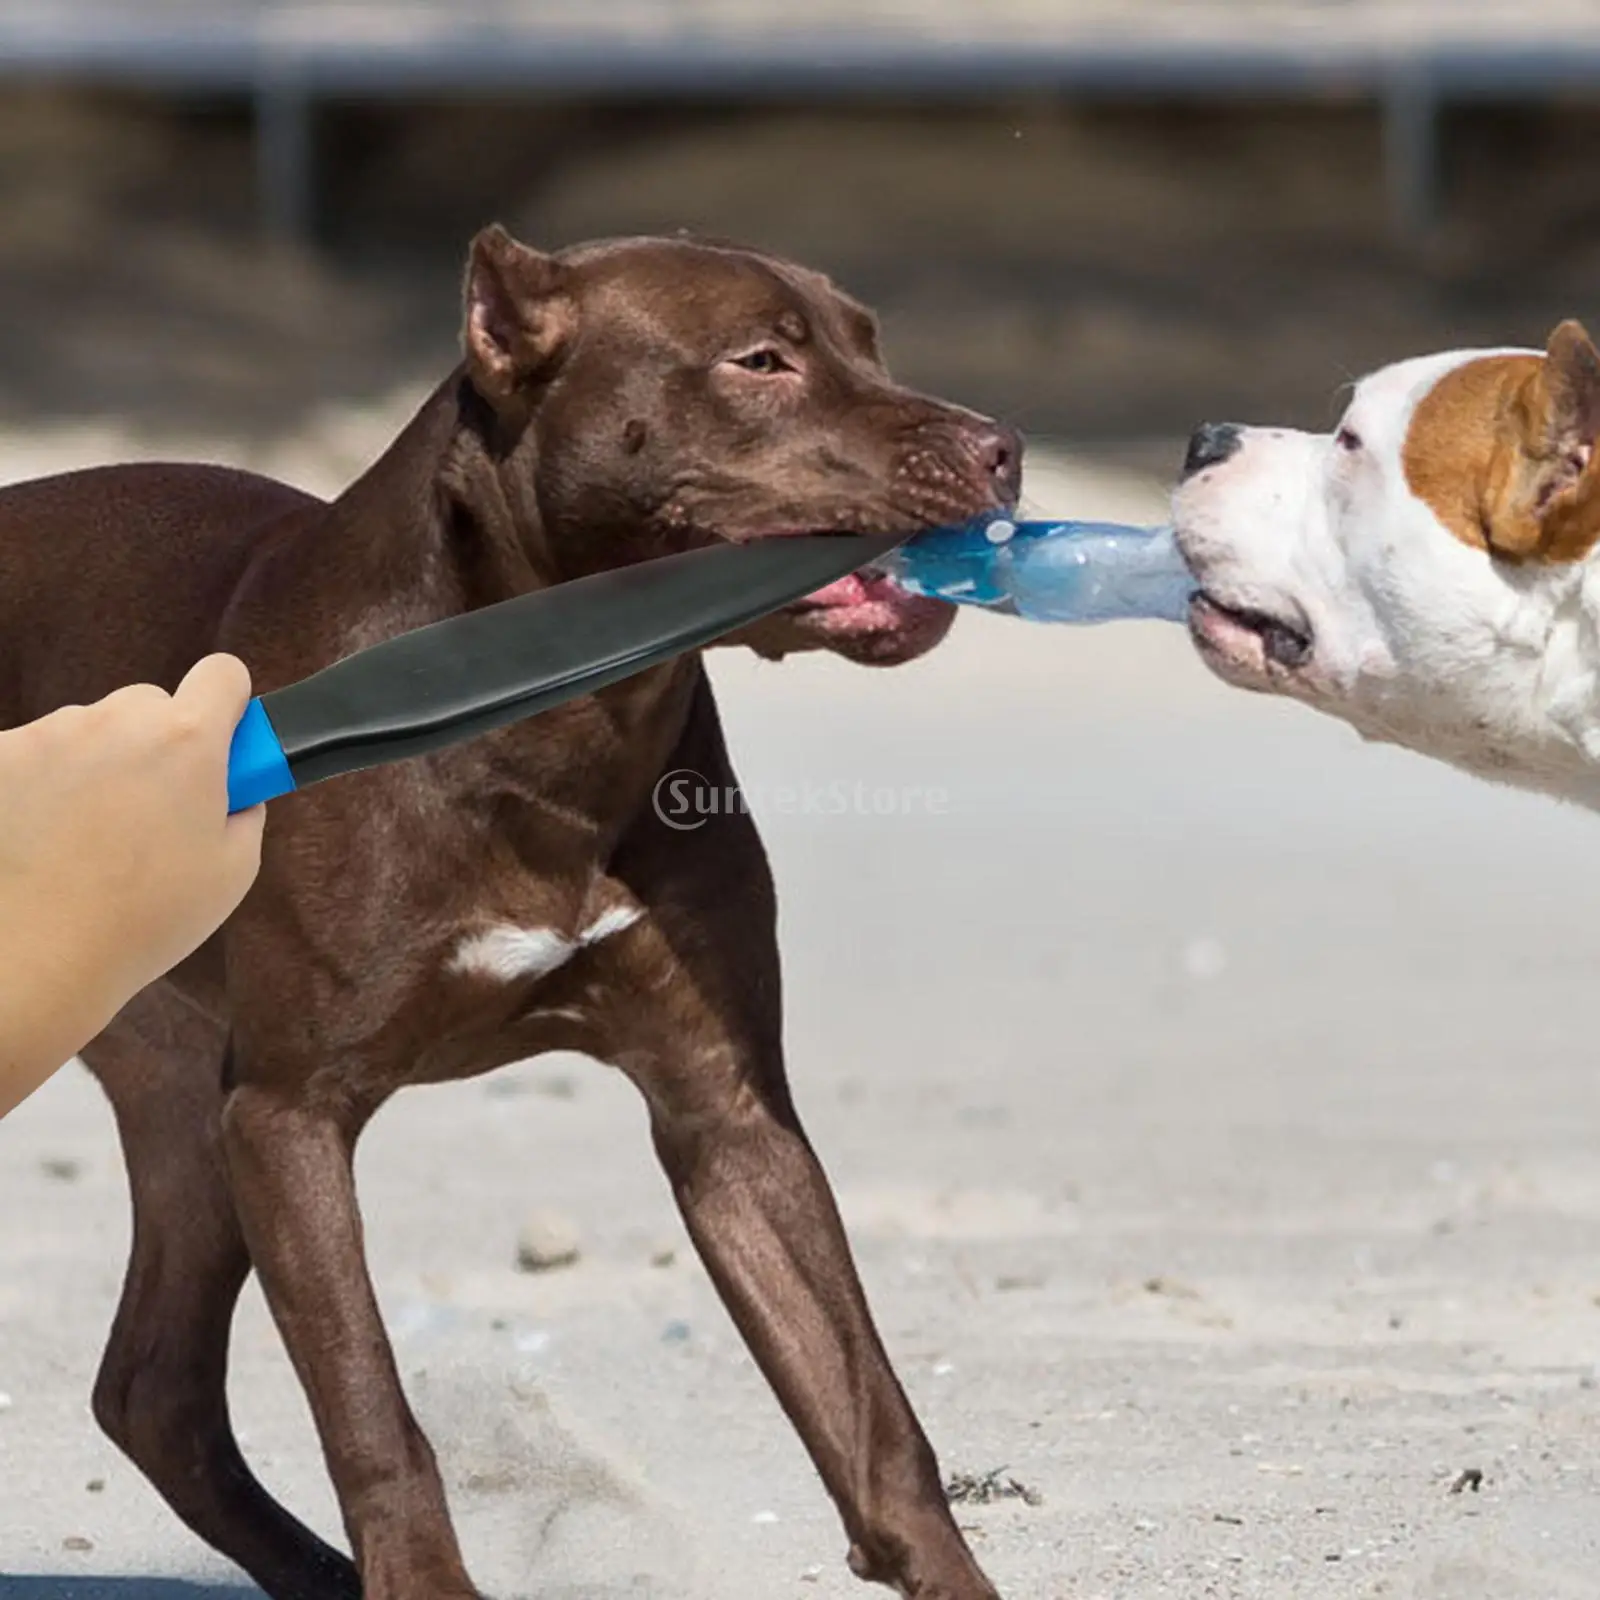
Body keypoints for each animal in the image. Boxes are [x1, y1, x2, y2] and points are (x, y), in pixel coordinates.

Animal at [0, 228, 1017, 1600]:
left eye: (870, 344)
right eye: (759, 360)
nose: (1000, 447)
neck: (559, 715)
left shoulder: (727, 1113)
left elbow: (864, 1403)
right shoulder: (287, 1114)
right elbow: (371, 1409)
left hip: (176, 1096)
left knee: (153, 1390)